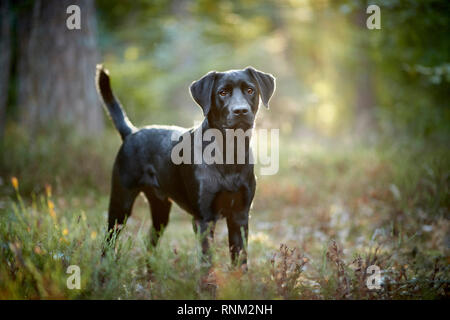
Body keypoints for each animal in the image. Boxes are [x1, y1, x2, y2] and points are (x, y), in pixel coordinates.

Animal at [96, 63, 274, 266]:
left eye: (250, 90)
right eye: (222, 92)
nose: (241, 111)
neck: (229, 153)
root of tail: (131, 132)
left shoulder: (240, 215)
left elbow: (240, 259)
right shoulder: (204, 218)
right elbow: (207, 261)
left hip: (160, 210)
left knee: (150, 241)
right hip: (121, 203)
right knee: (108, 240)